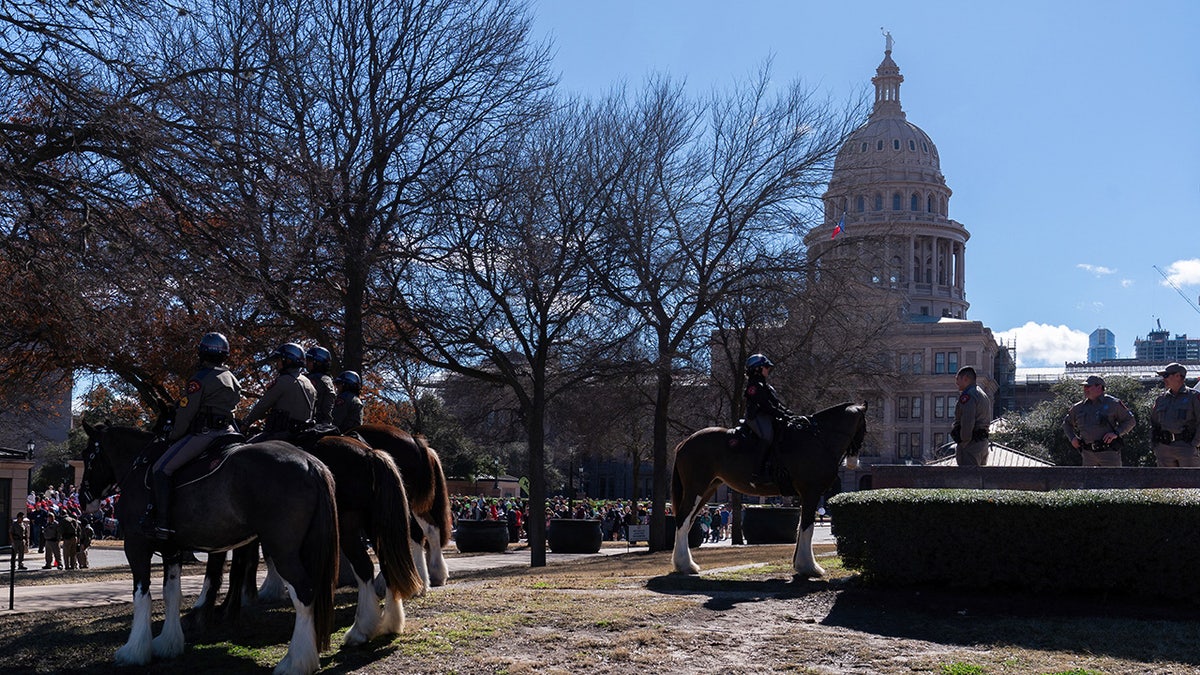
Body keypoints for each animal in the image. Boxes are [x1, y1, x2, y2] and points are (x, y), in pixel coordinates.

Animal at [78, 422, 338, 667]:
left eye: (87, 454)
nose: (82, 499)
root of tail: (310, 462)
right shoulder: (171, 550)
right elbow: (172, 594)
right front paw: (169, 643)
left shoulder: (136, 546)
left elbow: (142, 595)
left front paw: (134, 651)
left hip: (284, 551)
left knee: (304, 592)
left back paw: (296, 661)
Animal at [672, 401, 868, 576]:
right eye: (864, 428)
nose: (853, 463)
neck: (818, 439)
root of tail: (685, 442)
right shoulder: (811, 492)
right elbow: (807, 526)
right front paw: (809, 567)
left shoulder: (805, 495)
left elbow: (800, 527)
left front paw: (799, 564)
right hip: (696, 489)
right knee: (683, 519)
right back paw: (685, 565)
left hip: (707, 490)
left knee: (689, 520)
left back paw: (686, 563)